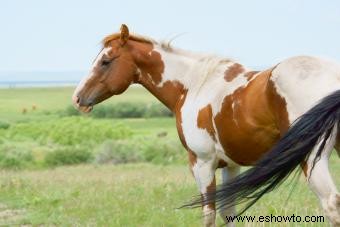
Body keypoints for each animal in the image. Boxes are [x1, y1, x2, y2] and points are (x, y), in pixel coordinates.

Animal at [72, 24, 340, 226]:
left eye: (106, 61)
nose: (77, 98)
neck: (192, 86)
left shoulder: (202, 164)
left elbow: (208, 213)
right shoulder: (230, 165)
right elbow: (228, 212)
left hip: (312, 160)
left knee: (331, 204)